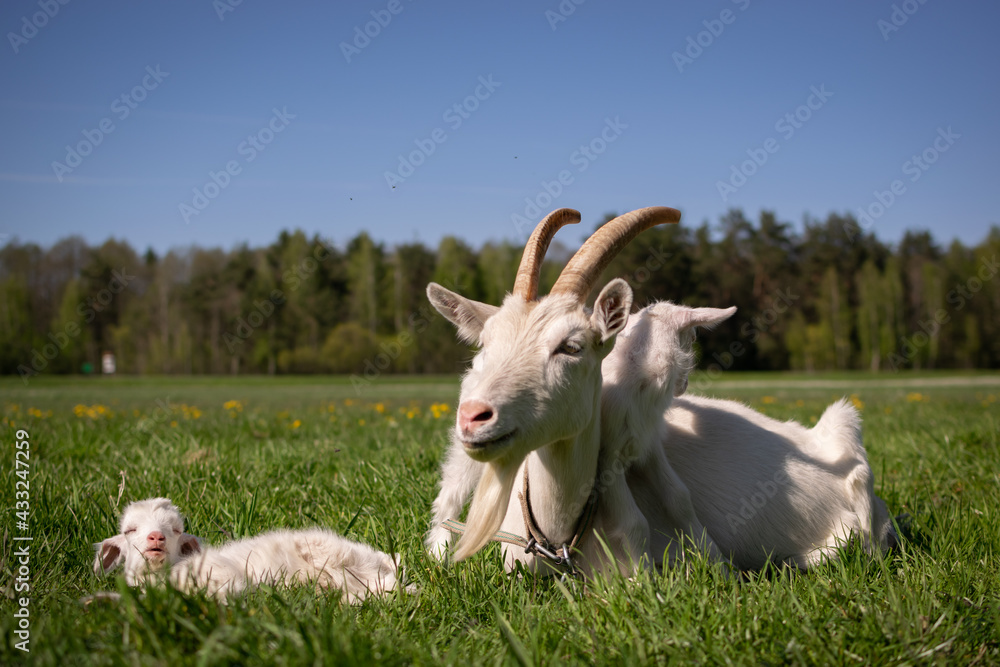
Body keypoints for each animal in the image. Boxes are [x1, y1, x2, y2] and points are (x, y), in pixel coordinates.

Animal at [94, 498, 409, 602]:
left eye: (175, 530)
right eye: (129, 530)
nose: (156, 538)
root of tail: (382, 558)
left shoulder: (225, 577)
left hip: (338, 558)